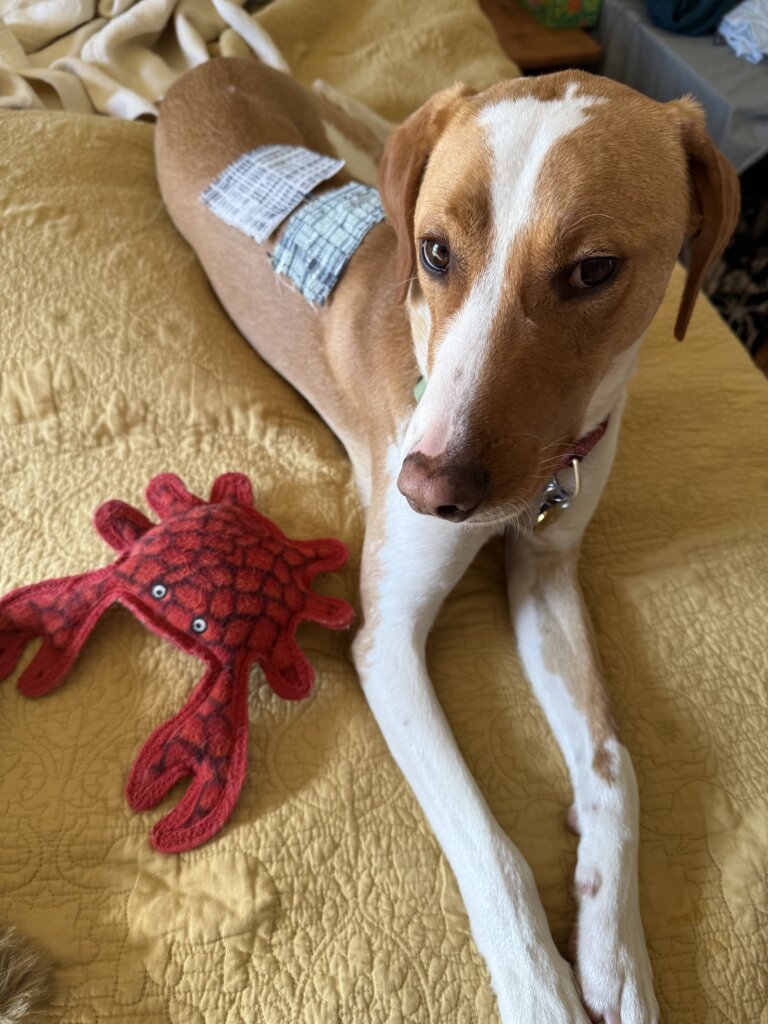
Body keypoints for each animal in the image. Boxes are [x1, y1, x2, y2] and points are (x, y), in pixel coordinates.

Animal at [154, 58, 739, 1024]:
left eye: (594, 271)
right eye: (434, 254)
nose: (429, 488)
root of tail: (210, 63)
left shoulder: (548, 576)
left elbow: (614, 763)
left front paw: (614, 945)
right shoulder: (385, 642)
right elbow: (486, 840)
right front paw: (540, 988)